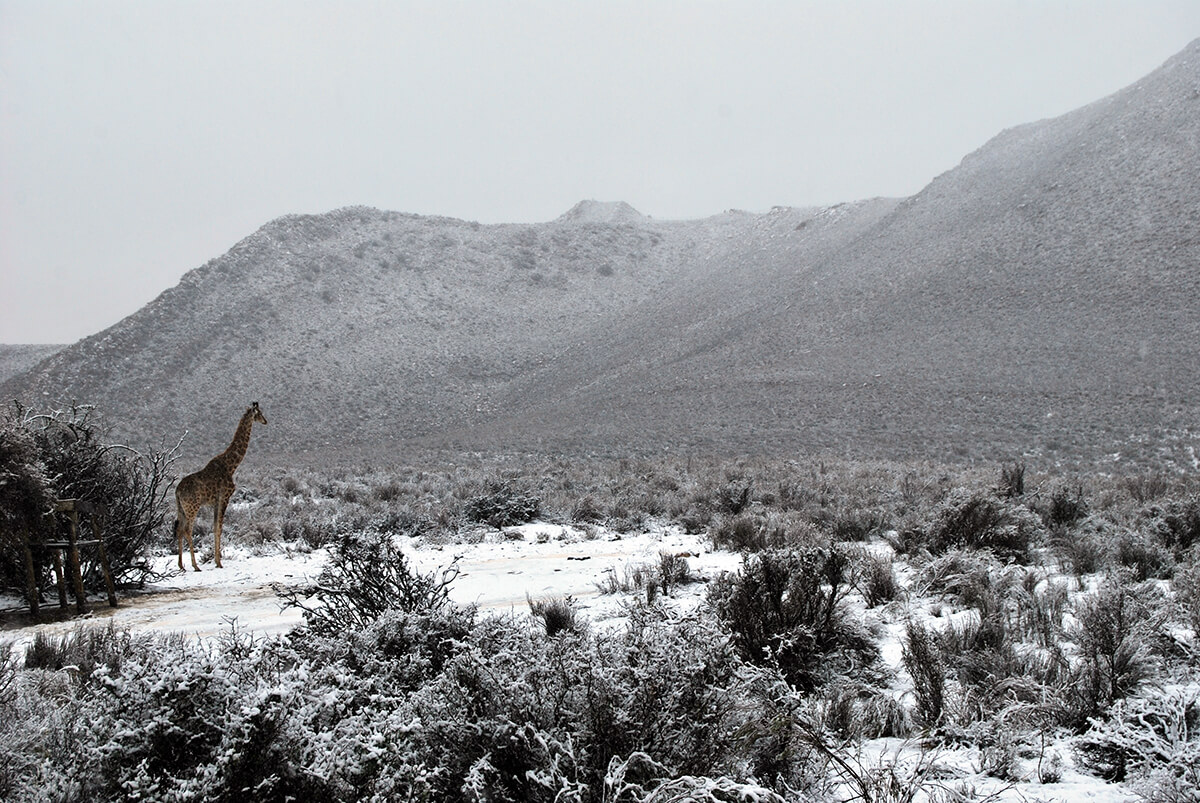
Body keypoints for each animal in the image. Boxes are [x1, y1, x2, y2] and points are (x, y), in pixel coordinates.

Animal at [174, 400, 267, 568]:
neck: (231, 466)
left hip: (181, 508)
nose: (265, 421)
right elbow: (219, 528)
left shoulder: (216, 501)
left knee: (179, 530)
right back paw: (195, 566)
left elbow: (215, 527)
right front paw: (219, 562)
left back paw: (181, 565)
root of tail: (177, 491)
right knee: (187, 530)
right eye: (260, 413)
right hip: (192, 507)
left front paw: (217, 560)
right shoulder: (225, 497)